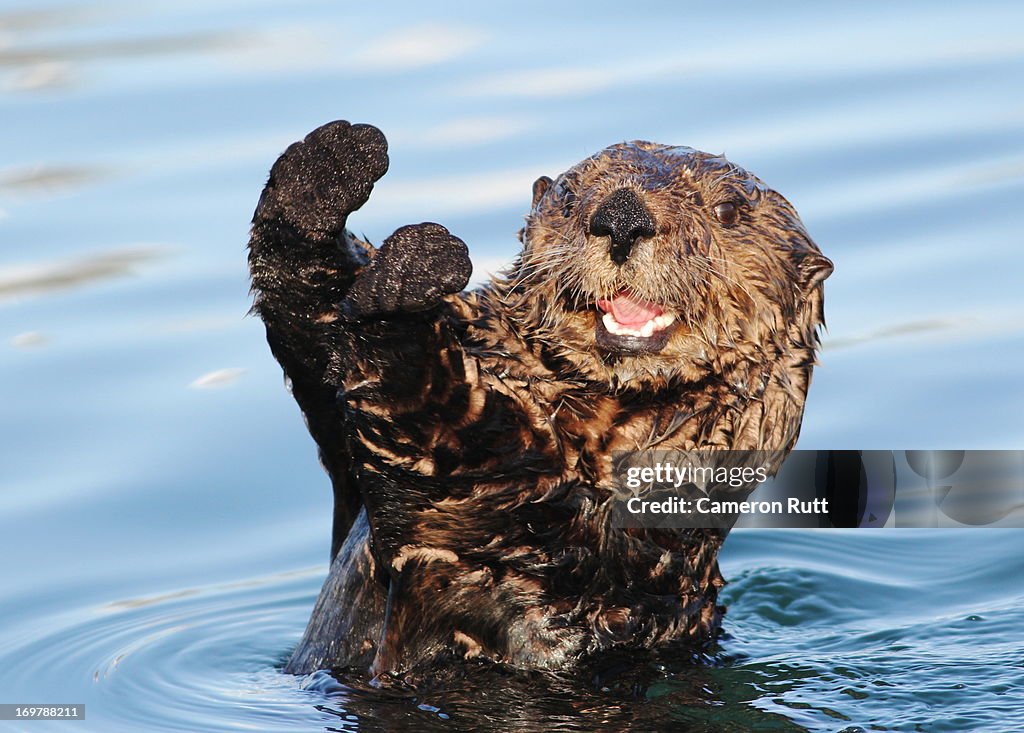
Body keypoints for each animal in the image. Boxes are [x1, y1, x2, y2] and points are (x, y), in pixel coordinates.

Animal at [249, 121, 831, 679]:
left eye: (727, 210)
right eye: (570, 197)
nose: (622, 216)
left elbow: (446, 433)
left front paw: (405, 279)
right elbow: (314, 336)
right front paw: (328, 168)